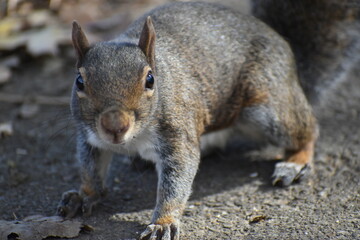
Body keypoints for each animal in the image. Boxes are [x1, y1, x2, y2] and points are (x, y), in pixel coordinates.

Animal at [55, 0, 344, 238]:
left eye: (150, 79)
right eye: (79, 81)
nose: (115, 127)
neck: (132, 138)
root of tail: (287, 51)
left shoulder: (177, 135)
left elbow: (176, 179)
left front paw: (162, 222)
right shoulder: (89, 137)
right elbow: (90, 169)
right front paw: (84, 195)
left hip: (268, 109)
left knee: (307, 131)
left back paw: (295, 163)